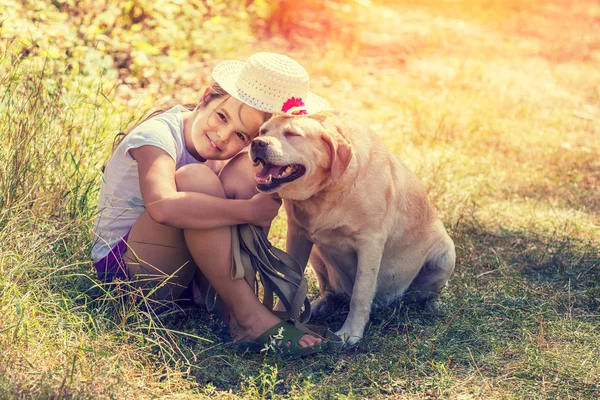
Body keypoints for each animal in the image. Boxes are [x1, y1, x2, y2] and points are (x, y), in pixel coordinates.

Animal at [248, 112, 454, 344]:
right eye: (263, 131)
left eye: (292, 134)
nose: (257, 143)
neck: (327, 190)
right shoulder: (297, 235)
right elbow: (290, 284)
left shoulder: (370, 242)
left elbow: (360, 293)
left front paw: (350, 333)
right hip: (316, 255)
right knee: (332, 292)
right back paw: (321, 304)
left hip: (447, 255)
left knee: (421, 294)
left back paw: (432, 304)